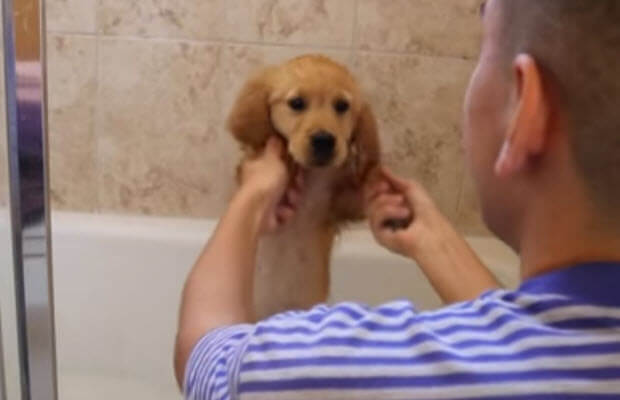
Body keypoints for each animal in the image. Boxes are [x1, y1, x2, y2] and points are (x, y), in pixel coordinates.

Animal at [229, 54, 378, 320]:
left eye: (342, 106)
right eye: (296, 103)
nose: (324, 141)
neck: (311, 178)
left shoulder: (336, 206)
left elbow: (355, 193)